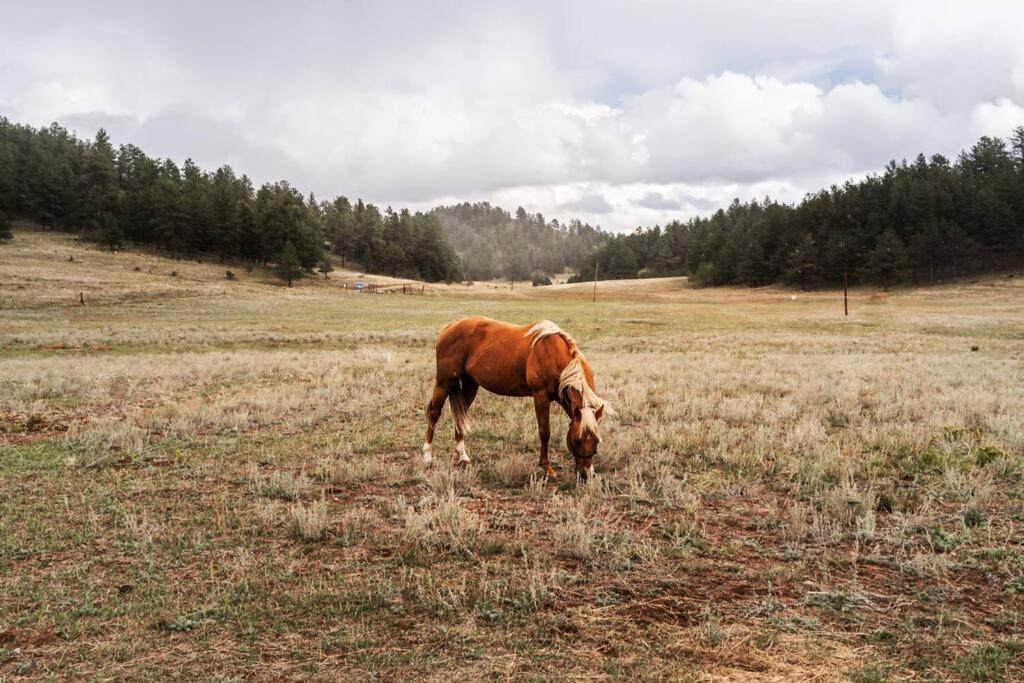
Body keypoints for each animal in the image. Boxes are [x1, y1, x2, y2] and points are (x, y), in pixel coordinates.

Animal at [421, 317, 610, 479]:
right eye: (576, 440)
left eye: (596, 441)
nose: (586, 475)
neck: (553, 354)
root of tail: (450, 327)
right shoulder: (540, 396)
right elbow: (545, 432)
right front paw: (547, 468)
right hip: (444, 382)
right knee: (434, 413)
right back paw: (427, 456)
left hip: (470, 385)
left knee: (460, 415)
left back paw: (463, 456)